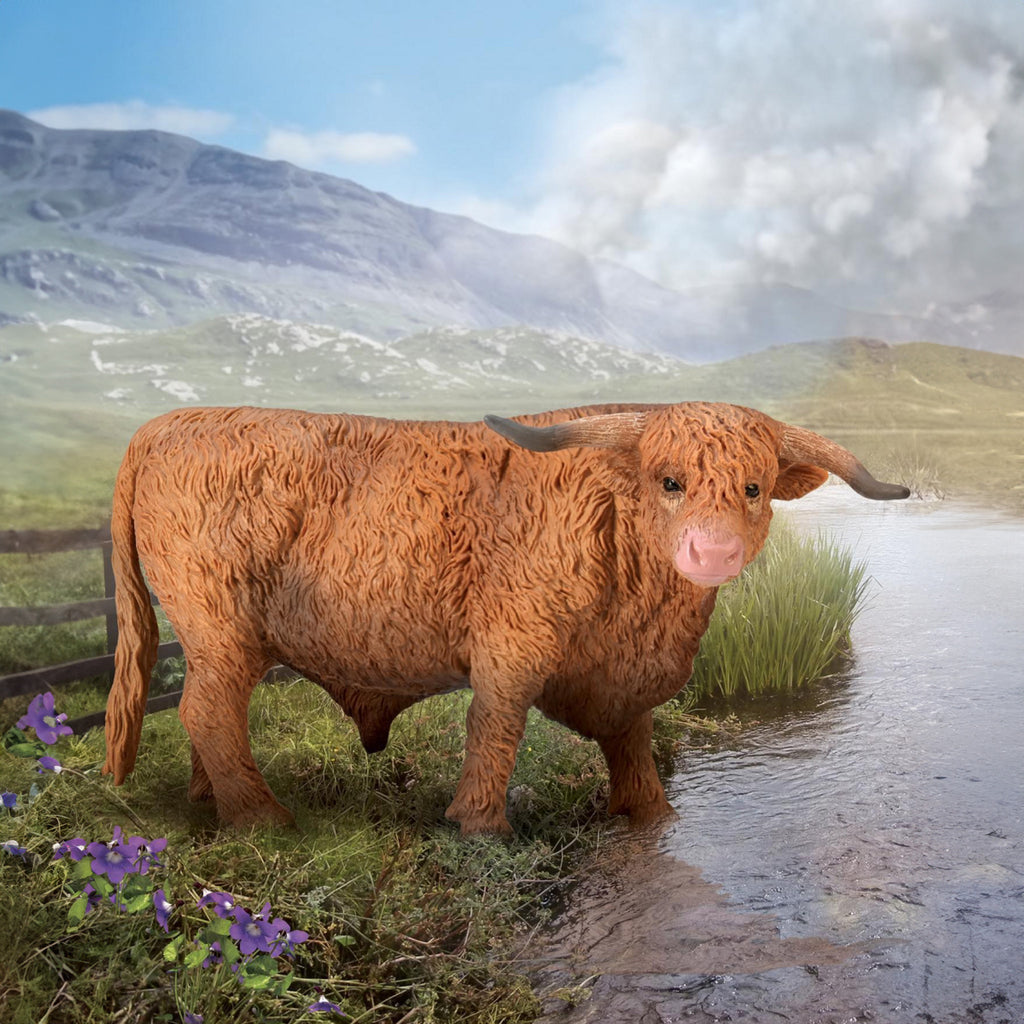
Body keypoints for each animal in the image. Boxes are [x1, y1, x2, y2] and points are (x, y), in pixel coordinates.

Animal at [102, 402, 909, 835]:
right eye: (669, 480)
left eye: (754, 486)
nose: (711, 550)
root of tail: (164, 425)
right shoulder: (514, 644)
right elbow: (496, 729)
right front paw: (480, 824)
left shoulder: (621, 676)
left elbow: (634, 743)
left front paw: (650, 814)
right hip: (221, 625)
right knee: (208, 709)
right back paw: (261, 817)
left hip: (215, 640)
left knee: (206, 710)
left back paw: (208, 801)